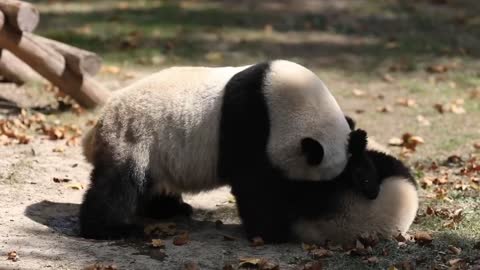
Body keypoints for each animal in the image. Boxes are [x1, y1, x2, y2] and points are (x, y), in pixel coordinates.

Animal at [80, 60, 352, 239]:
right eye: (318, 187)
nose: (322, 208)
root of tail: (100, 121)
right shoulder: (250, 123)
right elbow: (254, 185)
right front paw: (274, 230)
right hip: (134, 137)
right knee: (120, 184)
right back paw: (110, 228)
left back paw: (170, 209)